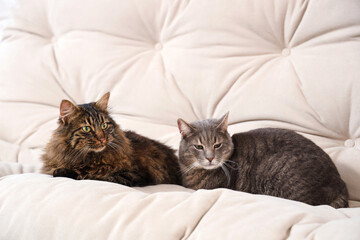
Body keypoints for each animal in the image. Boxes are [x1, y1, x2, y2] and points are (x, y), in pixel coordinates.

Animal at [42, 92, 181, 186]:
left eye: (104, 125)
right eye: (87, 129)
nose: (102, 139)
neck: (89, 158)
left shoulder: (134, 175)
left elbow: (93, 176)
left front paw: (69, 172)